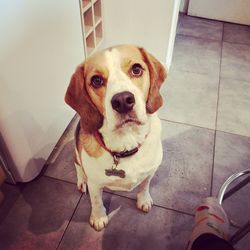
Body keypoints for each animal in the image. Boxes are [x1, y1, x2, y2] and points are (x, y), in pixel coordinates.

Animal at [65, 45, 166, 230]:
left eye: (136, 69)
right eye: (96, 80)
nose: (123, 100)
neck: (127, 142)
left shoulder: (150, 171)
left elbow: (144, 186)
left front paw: (143, 200)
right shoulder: (95, 184)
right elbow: (96, 201)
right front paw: (98, 217)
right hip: (76, 151)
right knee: (78, 167)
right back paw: (81, 181)